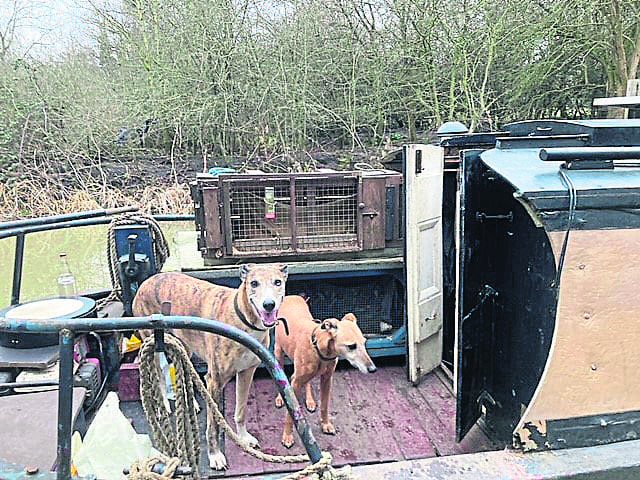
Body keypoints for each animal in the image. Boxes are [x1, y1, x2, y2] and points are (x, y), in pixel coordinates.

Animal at [132, 262, 288, 468]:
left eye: (277, 282)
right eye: (254, 283)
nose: (268, 305)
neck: (243, 320)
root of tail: (145, 282)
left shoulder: (247, 372)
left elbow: (241, 411)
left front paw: (244, 438)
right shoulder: (215, 381)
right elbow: (213, 425)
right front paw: (215, 455)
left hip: (183, 345)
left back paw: (192, 403)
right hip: (153, 342)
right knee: (157, 375)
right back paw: (163, 405)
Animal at [274, 294, 376, 448]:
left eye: (364, 343)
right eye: (351, 346)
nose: (373, 369)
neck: (318, 348)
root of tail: (291, 296)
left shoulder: (327, 379)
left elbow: (325, 405)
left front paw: (326, 424)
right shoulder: (296, 382)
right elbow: (291, 414)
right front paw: (287, 436)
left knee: (307, 382)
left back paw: (310, 400)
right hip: (278, 351)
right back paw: (280, 397)